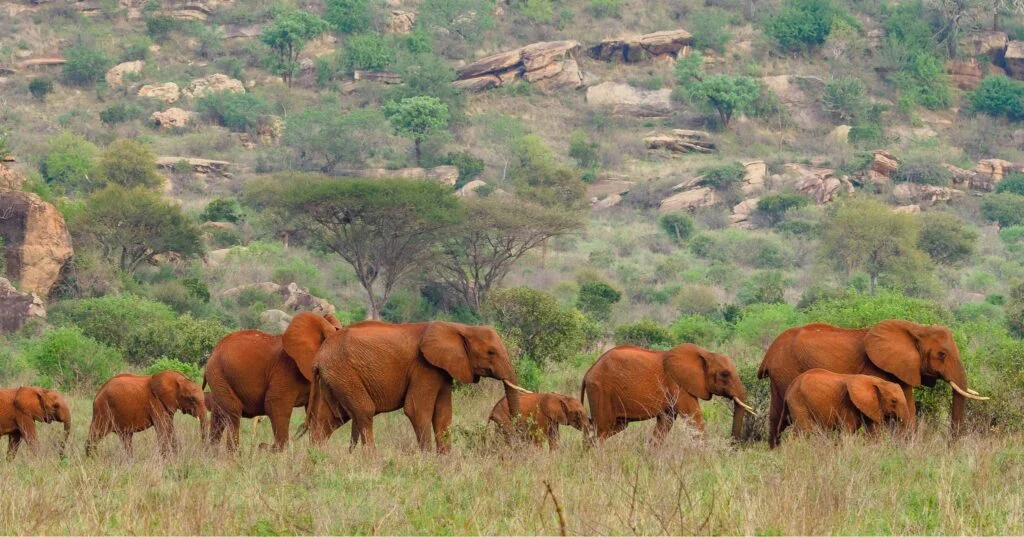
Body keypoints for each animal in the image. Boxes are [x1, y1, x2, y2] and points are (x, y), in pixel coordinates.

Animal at [203, 311, 341, 452]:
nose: (261, 445)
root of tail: (213, 352)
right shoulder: (285, 369)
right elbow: (276, 405)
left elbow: (316, 412)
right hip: (218, 373)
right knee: (233, 413)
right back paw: (232, 455)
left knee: (218, 415)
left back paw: (211, 454)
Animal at [297, 320, 528, 453]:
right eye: (491, 352)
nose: (518, 441)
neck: (459, 327)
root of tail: (318, 358)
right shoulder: (424, 367)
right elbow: (417, 410)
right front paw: (427, 459)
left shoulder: (442, 370)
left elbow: (443, 415)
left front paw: (445, 461)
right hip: (344, 373)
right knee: (364, 412)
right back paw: (371, 459)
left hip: (333, 378)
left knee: (327, 419)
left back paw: (317, 458)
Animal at [581, 343, 754, 445]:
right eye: (725, 374)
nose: (733, 446)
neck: (706, 353)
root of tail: (588, 372)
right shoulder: (678, 385)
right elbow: (693, 416)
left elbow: (666, 421)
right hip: (601, 390)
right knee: (602, 429)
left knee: (611, 427)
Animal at [777, 369, 912, 440]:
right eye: (893, 401)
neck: (876, 381)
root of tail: (790, 386)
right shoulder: (847, 404)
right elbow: (848, 430)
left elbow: (873, 431)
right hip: (798, 402)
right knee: (806, 431)